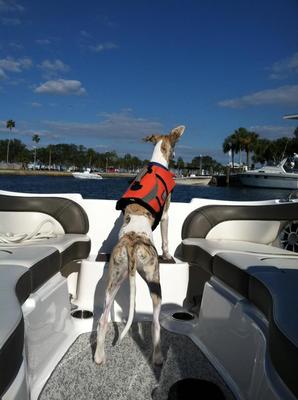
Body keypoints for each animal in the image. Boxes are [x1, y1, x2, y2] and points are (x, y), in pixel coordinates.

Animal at [94, 125, 185, 366]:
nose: (176, 157)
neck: (157, 162)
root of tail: (132, 245)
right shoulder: (166, 214)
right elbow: (166, 238)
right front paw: (168, 255)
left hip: (114, 280)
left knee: (103, 320)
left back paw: (99, 356)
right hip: (155, 280)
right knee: (155, 323)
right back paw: (158, 356)